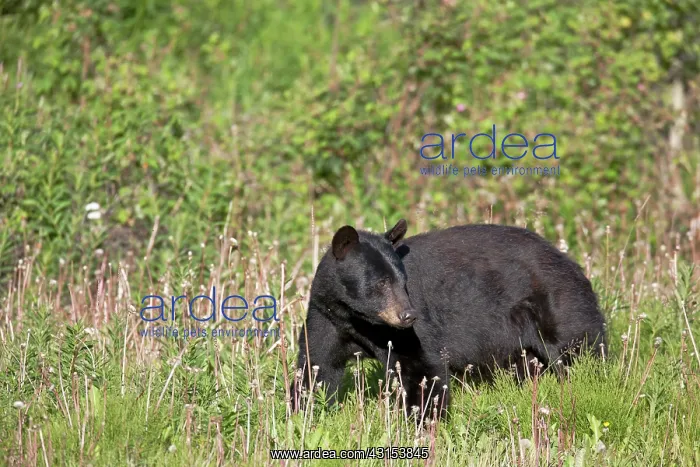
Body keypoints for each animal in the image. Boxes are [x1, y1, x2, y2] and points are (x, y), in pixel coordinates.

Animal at [290, 219, 606, 418]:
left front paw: (425, 420)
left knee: (577, 351)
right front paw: (303, 412)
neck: (358, 319)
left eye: (403, 281)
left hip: (559, 308)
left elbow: (421, 365)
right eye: (380, 283)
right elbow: (318, 365)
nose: (408, 315)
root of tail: (573, 264)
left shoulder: (407, 333)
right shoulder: (326, 316)